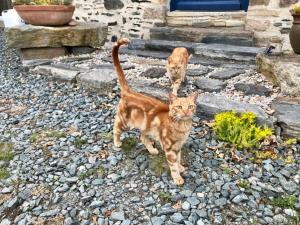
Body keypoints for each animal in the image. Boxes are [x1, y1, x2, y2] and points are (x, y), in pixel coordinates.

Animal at [111, 38, 198, 185]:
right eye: (179, 107)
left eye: (190, 106)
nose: (186, 112)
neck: (182, 126)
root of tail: (129, 91)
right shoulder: (169, 148)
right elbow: (173, 164)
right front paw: (177, 177)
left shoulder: (178, 146)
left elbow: (179, 159)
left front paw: (181, 167)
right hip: (124, 122)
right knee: (115, 129)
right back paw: (117, 143)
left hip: (146, 127)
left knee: (143, 137)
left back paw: (152, 150)